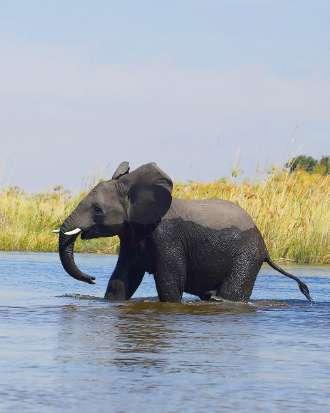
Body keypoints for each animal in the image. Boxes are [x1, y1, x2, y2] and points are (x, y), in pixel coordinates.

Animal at [54, 162, 312, 302]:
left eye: (97, 210)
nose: (91, 278)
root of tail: (265, 247)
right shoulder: (132, 236)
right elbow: (122, 279)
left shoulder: (167, 236)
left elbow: (169, 283)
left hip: (247, 256)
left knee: (230, 294)